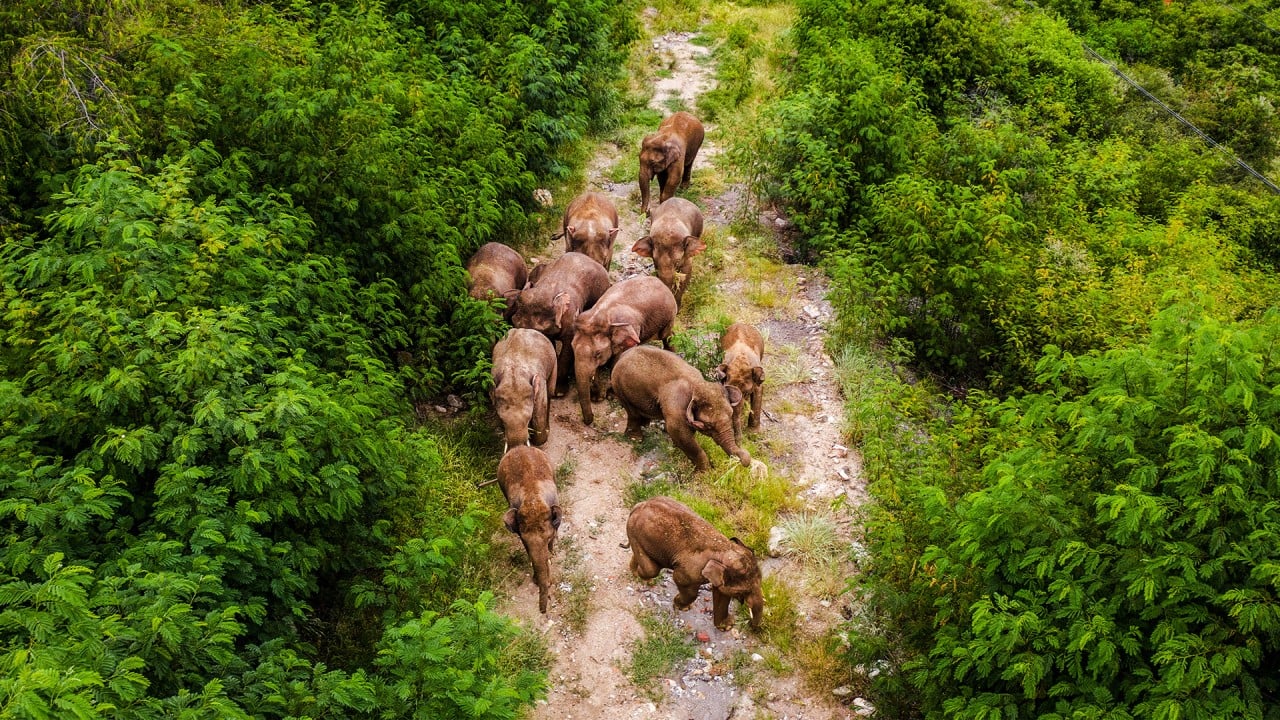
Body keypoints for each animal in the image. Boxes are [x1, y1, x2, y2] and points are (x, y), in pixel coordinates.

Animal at [499, 443, 560, 609]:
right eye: (525, 542)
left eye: (548, 538)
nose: (543, 611)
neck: (533, 499)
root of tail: (519, 446)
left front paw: (551, 554)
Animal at [573, 272, 680, 420]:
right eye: (572, 348)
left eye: (597, 353)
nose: (591, 419)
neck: (602, 315)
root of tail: (660, 282)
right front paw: (597, 397)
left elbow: (616, 361)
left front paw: (611, 396)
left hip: (669, 315)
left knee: (666, 335)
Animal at [609, 343, 747, 471]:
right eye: (709, 425)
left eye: (730, 414)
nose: (746, 456)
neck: (697, 384)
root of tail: (623, 354)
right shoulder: (676, 407)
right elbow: (679, 432)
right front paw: (707, 472)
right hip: (619, 387)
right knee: (632, 413)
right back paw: (636, 439)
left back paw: (645, 425)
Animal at [627, 491, 762, 627]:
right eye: (744, 591)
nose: (749, 623)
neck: (726, 549)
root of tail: (639, 505)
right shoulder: (691, 570)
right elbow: (681, 580)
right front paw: (681, 606)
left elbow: (722, 594)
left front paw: (726, 626)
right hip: (634, 531)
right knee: (652, 570)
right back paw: (645, 579)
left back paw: (636, 573)